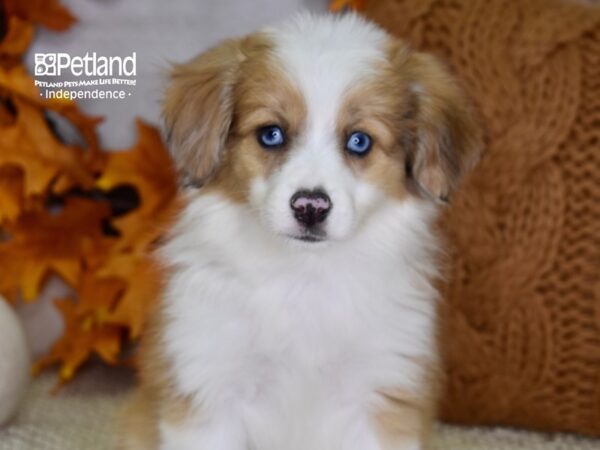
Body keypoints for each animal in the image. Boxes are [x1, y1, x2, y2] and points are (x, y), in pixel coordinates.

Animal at [119, 12, 480, 450]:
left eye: (359, 141)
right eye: (271, 134)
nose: (310, 207)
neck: (303, 277)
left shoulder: (380, 391)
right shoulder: (209, 387)